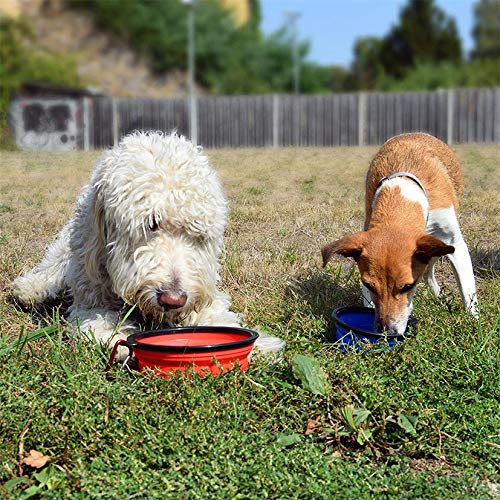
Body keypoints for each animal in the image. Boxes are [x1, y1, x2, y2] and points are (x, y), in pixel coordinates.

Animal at [11, 133, 284, 358]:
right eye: (150, 224)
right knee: (50, 269)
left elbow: (214, 315)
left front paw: (259, 345)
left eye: (195, 231)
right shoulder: (91, 298)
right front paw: (117, 338)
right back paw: (29, 289)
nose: (173, 299)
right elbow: (99, 318)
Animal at [322, 135, 478, 334]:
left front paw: (474, 322)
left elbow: (468, 290)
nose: (387, 332)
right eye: (368, 284)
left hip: (439, 245)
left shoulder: (455, 244)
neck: (400, 200)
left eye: (408, 286)